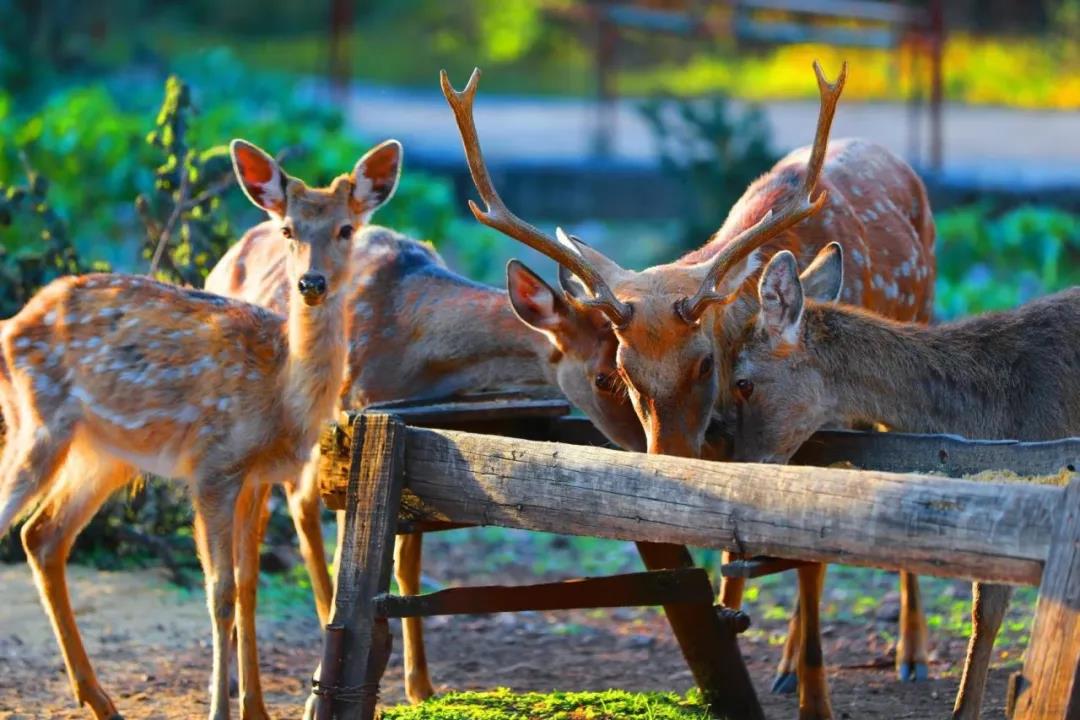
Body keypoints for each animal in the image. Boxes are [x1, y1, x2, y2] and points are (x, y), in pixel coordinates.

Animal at [0, 136, 401, 720]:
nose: (311, 283)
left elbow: (250, 583)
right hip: (38, 424)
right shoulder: (213, 465)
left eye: (346, 229)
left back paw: (101, 700)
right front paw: (220, 709)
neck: (281, 392)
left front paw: (256, 708)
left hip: (106, 455)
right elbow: (220, 591)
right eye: (288, 230)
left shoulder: (256, 477)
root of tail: (13, 324)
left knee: (43, 535)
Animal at [442, 63, 941, 720]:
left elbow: (810, 556)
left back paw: (911, 654)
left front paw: (818, 703)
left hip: (922, 311)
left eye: (705, 363)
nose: (666, 466)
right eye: (622, 369)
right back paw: (785, 665)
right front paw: (738, 637)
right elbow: (741, 550)